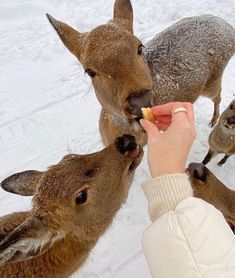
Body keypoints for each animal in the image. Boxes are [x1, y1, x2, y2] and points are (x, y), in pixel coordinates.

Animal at [46, 0, 235, 147]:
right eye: (89, 71)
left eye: (140, 47)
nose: (140, 100)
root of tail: (229, 27)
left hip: (212, 81)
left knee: (218, 93)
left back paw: (213, 120)